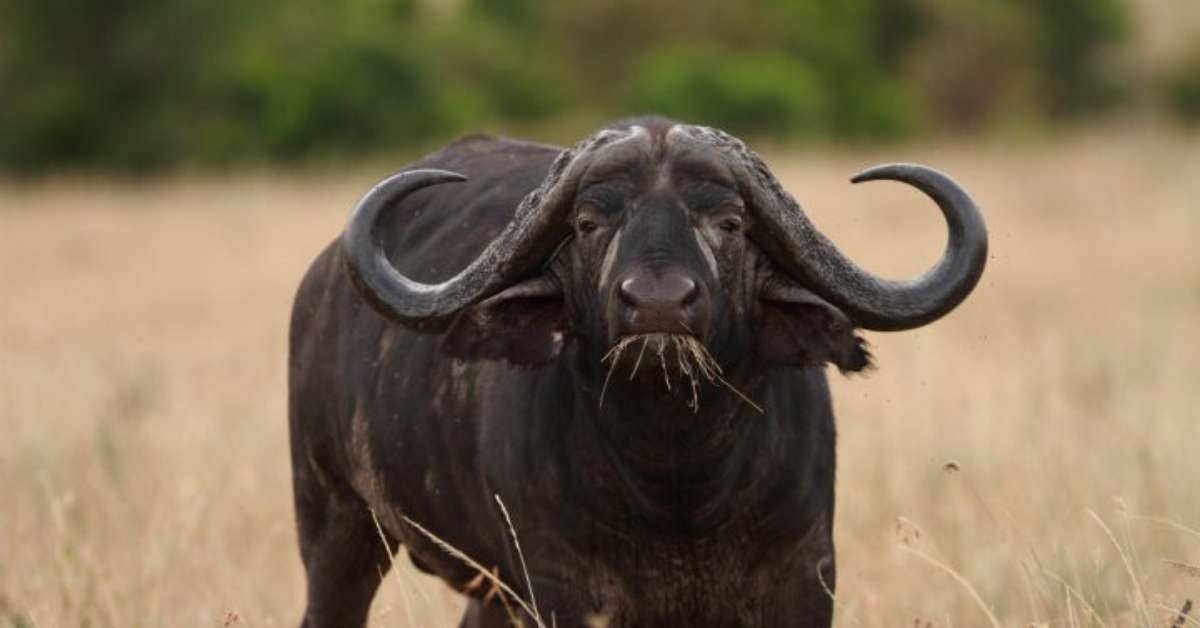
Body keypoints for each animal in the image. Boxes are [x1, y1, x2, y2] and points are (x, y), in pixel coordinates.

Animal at [288, 117, 987, 627]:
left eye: (729, 221)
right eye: (589, 221)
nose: (657, 303)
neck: (679, 480)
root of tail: (321, 284)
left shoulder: (804, 576)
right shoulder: (562, 589)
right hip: (336, 526)